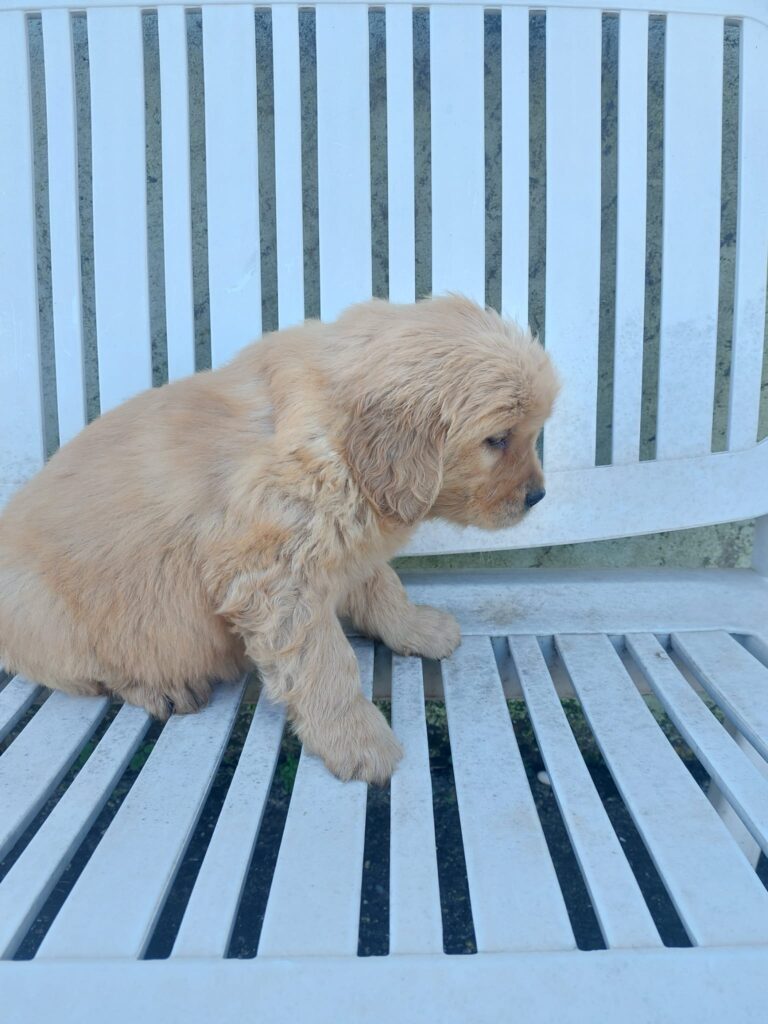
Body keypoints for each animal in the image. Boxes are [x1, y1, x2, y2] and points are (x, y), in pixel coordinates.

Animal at [0, 296, 557, 782]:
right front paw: (357, 739)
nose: (538, 496)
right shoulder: (277, 579)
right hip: (43, 608)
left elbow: (383, 588)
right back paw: (163, 687)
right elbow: (325, 661)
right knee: (93, 667)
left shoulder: (346, 548)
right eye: (497, 439)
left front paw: (418, 629)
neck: (339, 444)